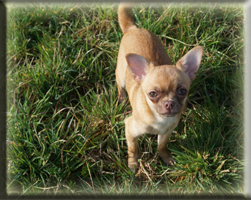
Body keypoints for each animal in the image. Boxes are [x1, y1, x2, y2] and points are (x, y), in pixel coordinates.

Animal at [115, 3, 202, 171]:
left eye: (182, 91)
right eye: (153, 94)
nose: (169, 103)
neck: (159, 120)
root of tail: (133, 28)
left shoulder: (166, 132)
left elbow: (161, 146)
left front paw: (166, 158)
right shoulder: (130, 129)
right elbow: (133, 149)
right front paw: (133, 163)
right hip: (121, 75)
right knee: (119, 85)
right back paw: (122, 98)